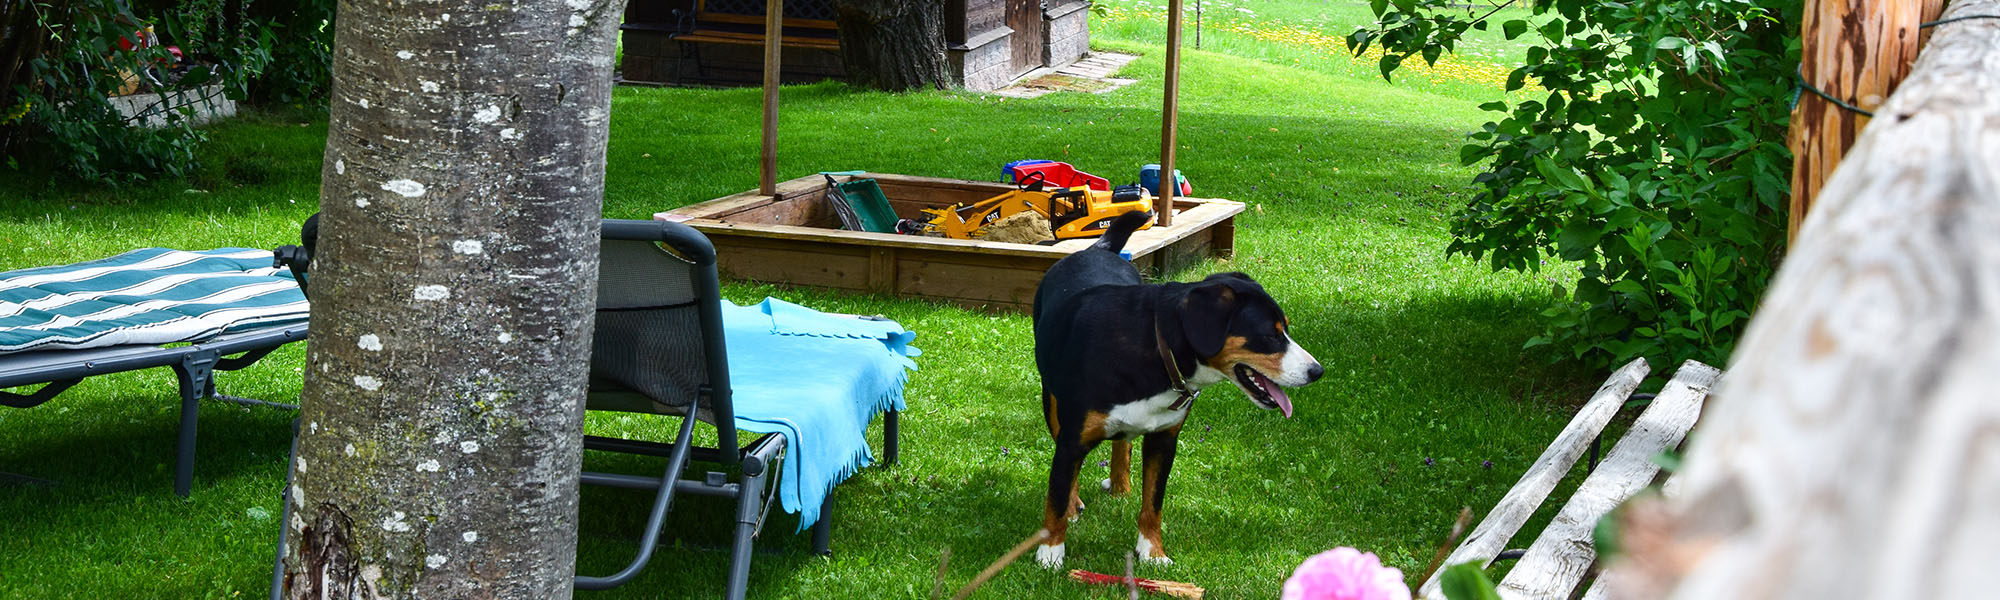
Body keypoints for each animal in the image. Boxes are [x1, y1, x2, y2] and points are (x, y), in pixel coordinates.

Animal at [1032, 211, 1328, 568]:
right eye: (1270, 336)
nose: (1317, 371)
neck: (1156, 348)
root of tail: (1096, 249)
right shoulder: (1072, 440)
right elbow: (1057, 497)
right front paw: (1050, 553)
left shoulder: (1164, 441)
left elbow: (1153, 504)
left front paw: (1152, 552)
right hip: (1052, 404)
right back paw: (1076, 507)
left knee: (1122, 446)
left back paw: (1120, 487)